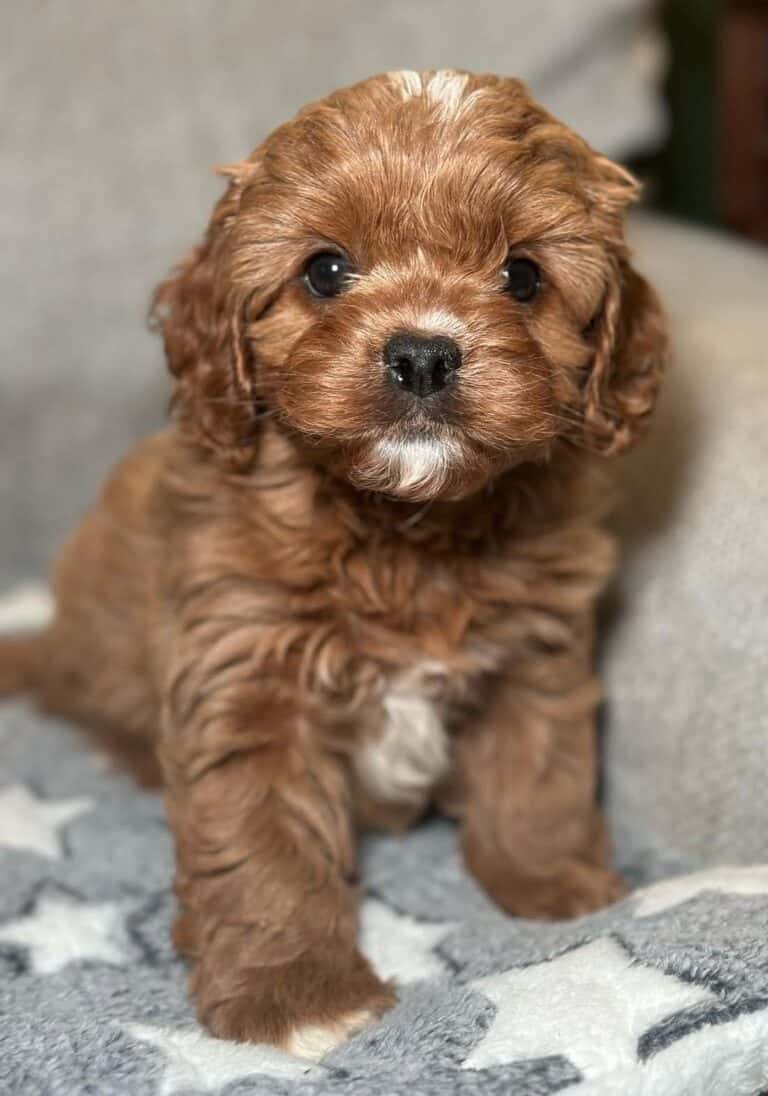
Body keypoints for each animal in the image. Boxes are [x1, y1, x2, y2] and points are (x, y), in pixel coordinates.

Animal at [1, 72, 666, 1056]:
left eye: (523, 276)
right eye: (324, 270)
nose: (423, 354)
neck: (403, 527)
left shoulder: (537, 647)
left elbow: (539, 768)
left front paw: (552, 884)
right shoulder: (246, 673)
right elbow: (263, 845)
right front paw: (297, 995)